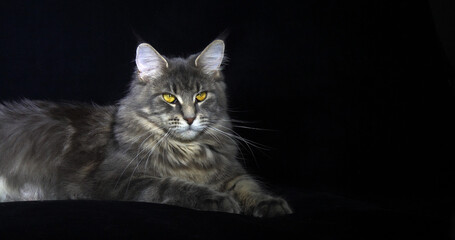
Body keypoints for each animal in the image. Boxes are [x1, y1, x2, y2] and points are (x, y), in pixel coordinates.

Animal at [0, 39, 292, 218]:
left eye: (200, 96)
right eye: (169, 98)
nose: (189, 118)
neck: (187, 152)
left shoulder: (231, 171)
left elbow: (248, 185)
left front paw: (270, 203)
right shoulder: (116, 179)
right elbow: (171, 185)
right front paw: (217, 199)